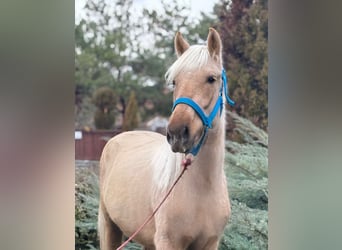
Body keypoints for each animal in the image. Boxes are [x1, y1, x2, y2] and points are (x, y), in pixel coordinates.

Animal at [99, 28, 232, 249]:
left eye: (211, 79)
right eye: (175, 81)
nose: (178, 133)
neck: (203, 189)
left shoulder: (210, 243)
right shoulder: (168, 242)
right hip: (109, 226)